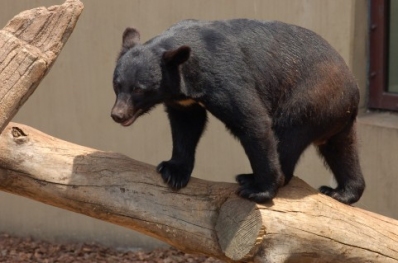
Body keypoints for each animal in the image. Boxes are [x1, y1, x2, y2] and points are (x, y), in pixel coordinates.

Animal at [110, 19, 366, 205]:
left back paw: (256, 179)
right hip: (335, 114)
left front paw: (260, 190)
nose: (117, 115)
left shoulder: (224, 76)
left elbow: (252, 120)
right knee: (341, 148)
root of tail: (354, 89)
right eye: (117, 85)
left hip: (309, 97)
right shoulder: (184, 100)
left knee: (287, 136)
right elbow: (187, 124)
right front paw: (173, 171)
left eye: (139, 89)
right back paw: (341, 191)